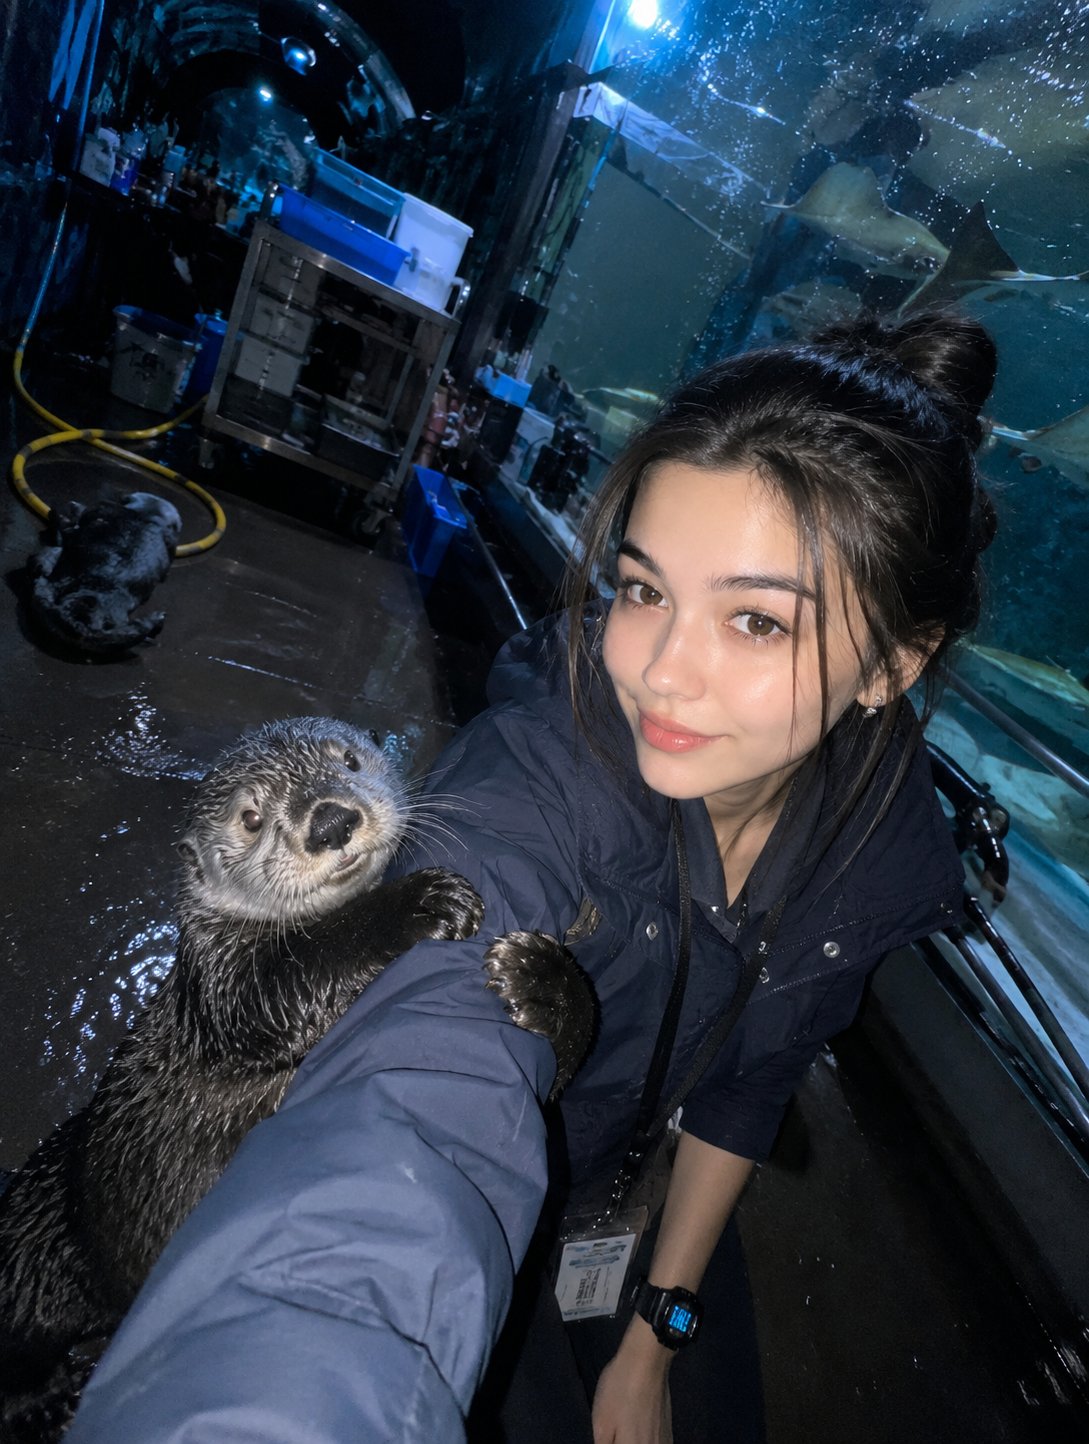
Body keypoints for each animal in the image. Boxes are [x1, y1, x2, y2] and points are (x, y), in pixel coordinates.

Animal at [0, 717, 593, 1443]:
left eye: (349, 761)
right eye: (251, 818)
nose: (331, 820)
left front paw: (541, 980)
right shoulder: (225, 988)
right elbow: (298, 968)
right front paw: (419, 902)